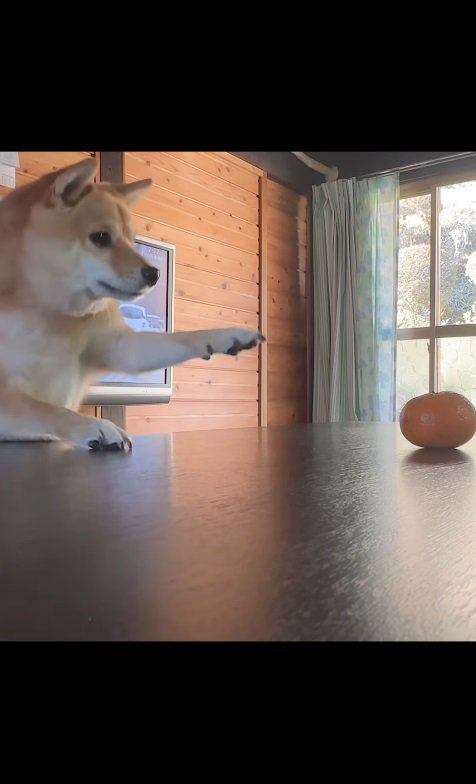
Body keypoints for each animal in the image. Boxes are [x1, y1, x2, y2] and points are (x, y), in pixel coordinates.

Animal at [0, 157, 264, 450]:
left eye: (131, 239)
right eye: (101, 237)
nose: (155, 274)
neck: (54, 313)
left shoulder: (121, 346)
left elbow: (180, 339)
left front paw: (227, 336)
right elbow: (46, 409)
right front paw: (95, 425)